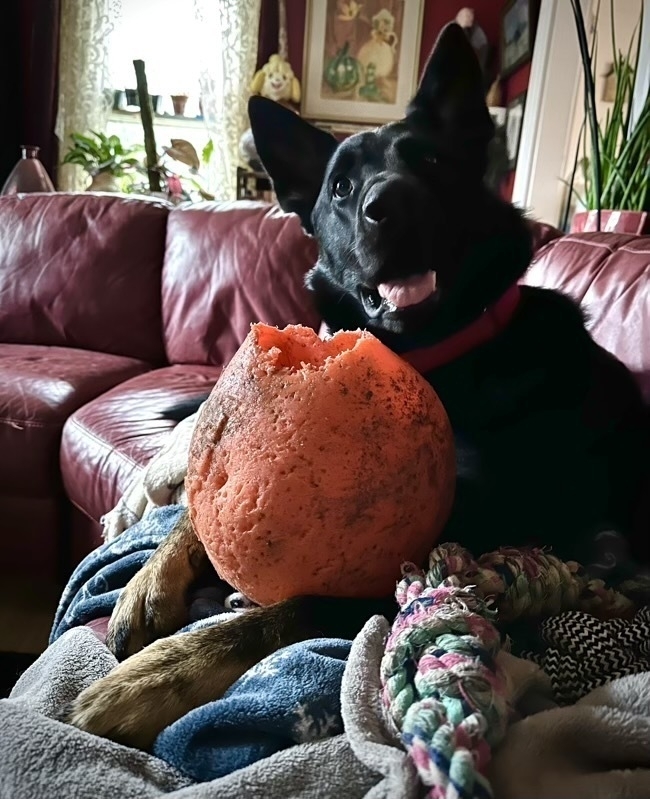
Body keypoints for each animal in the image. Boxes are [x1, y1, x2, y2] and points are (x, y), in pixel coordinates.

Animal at [66, 26, 648, 752]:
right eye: (340, 186)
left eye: (431, 160)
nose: (389, 204)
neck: (427, 356)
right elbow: (203, 516)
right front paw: (150, 585)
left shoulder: (446, 546)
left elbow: (288, 611)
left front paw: (150, 679)